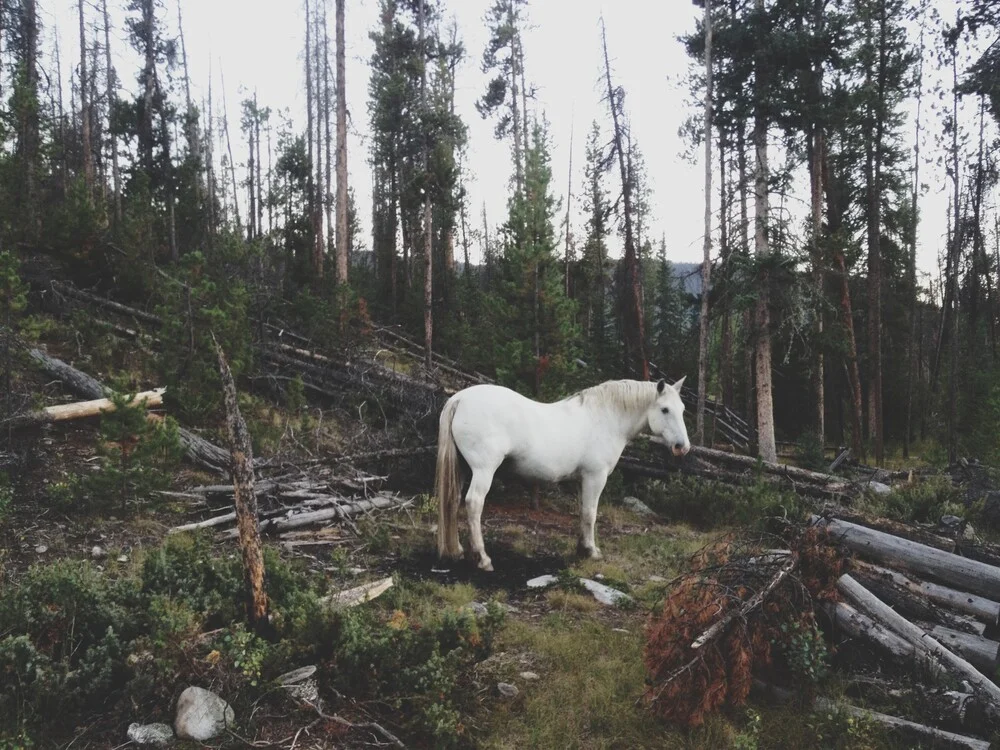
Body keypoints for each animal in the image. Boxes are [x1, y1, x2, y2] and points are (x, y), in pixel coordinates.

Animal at [434, 378, 692, 572]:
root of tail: (460, 398)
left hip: (463, 469)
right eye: (665, 410)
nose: (683, 447)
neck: (606, 418)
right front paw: (591, 551)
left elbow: (583, 513)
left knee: (452, 501)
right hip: (483, 470)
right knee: (474, 503)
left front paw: (581, 548)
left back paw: (456, 550)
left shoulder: (582, 480)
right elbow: (590, 513)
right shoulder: (595, 477)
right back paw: (483, 558)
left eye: (682, 410)